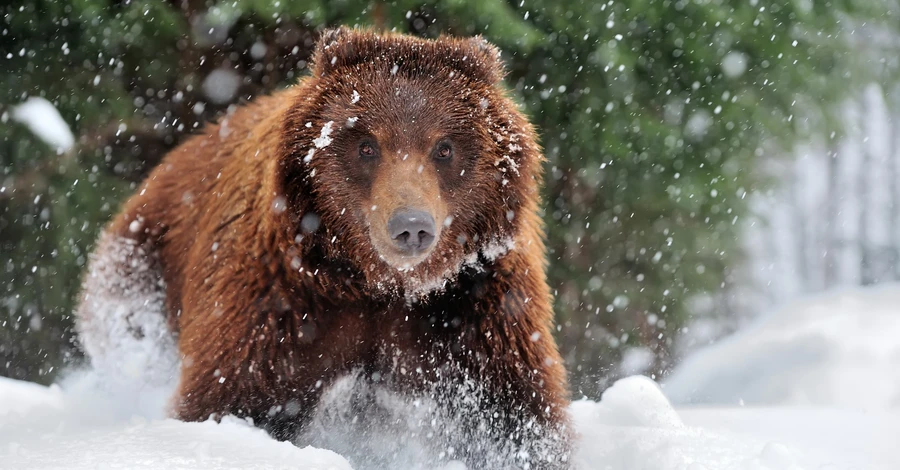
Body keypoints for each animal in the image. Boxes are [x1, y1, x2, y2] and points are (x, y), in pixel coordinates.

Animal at [75, 27, 568, 468]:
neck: (378, 285)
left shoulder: (474, 309)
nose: (411, 226)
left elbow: (512, 420)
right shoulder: (281, 300)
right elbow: (229, 396)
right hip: (141, 264)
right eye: (367, 145)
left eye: (443, 147)